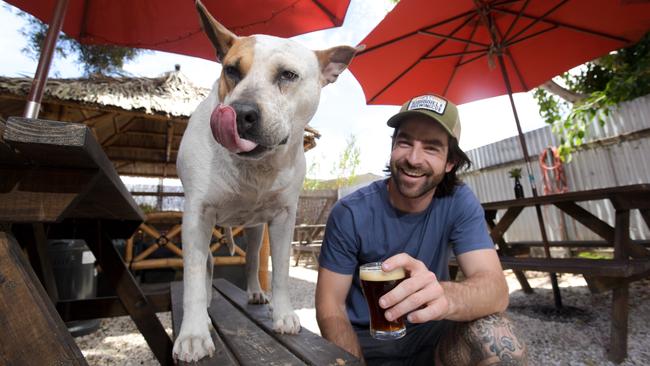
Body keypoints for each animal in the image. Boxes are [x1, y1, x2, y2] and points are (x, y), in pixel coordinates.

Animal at [172, 1, 360, 362]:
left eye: (287, 75)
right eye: (231, 70)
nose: (241, 113)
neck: (255, 168)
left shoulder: (285, 218)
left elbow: (283, 270)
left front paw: (283, 314)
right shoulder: (196, 215)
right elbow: (193, 276)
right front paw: (193, 334)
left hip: (256, 229)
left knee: (250, 260)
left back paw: (256, 292)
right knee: (207, 263)